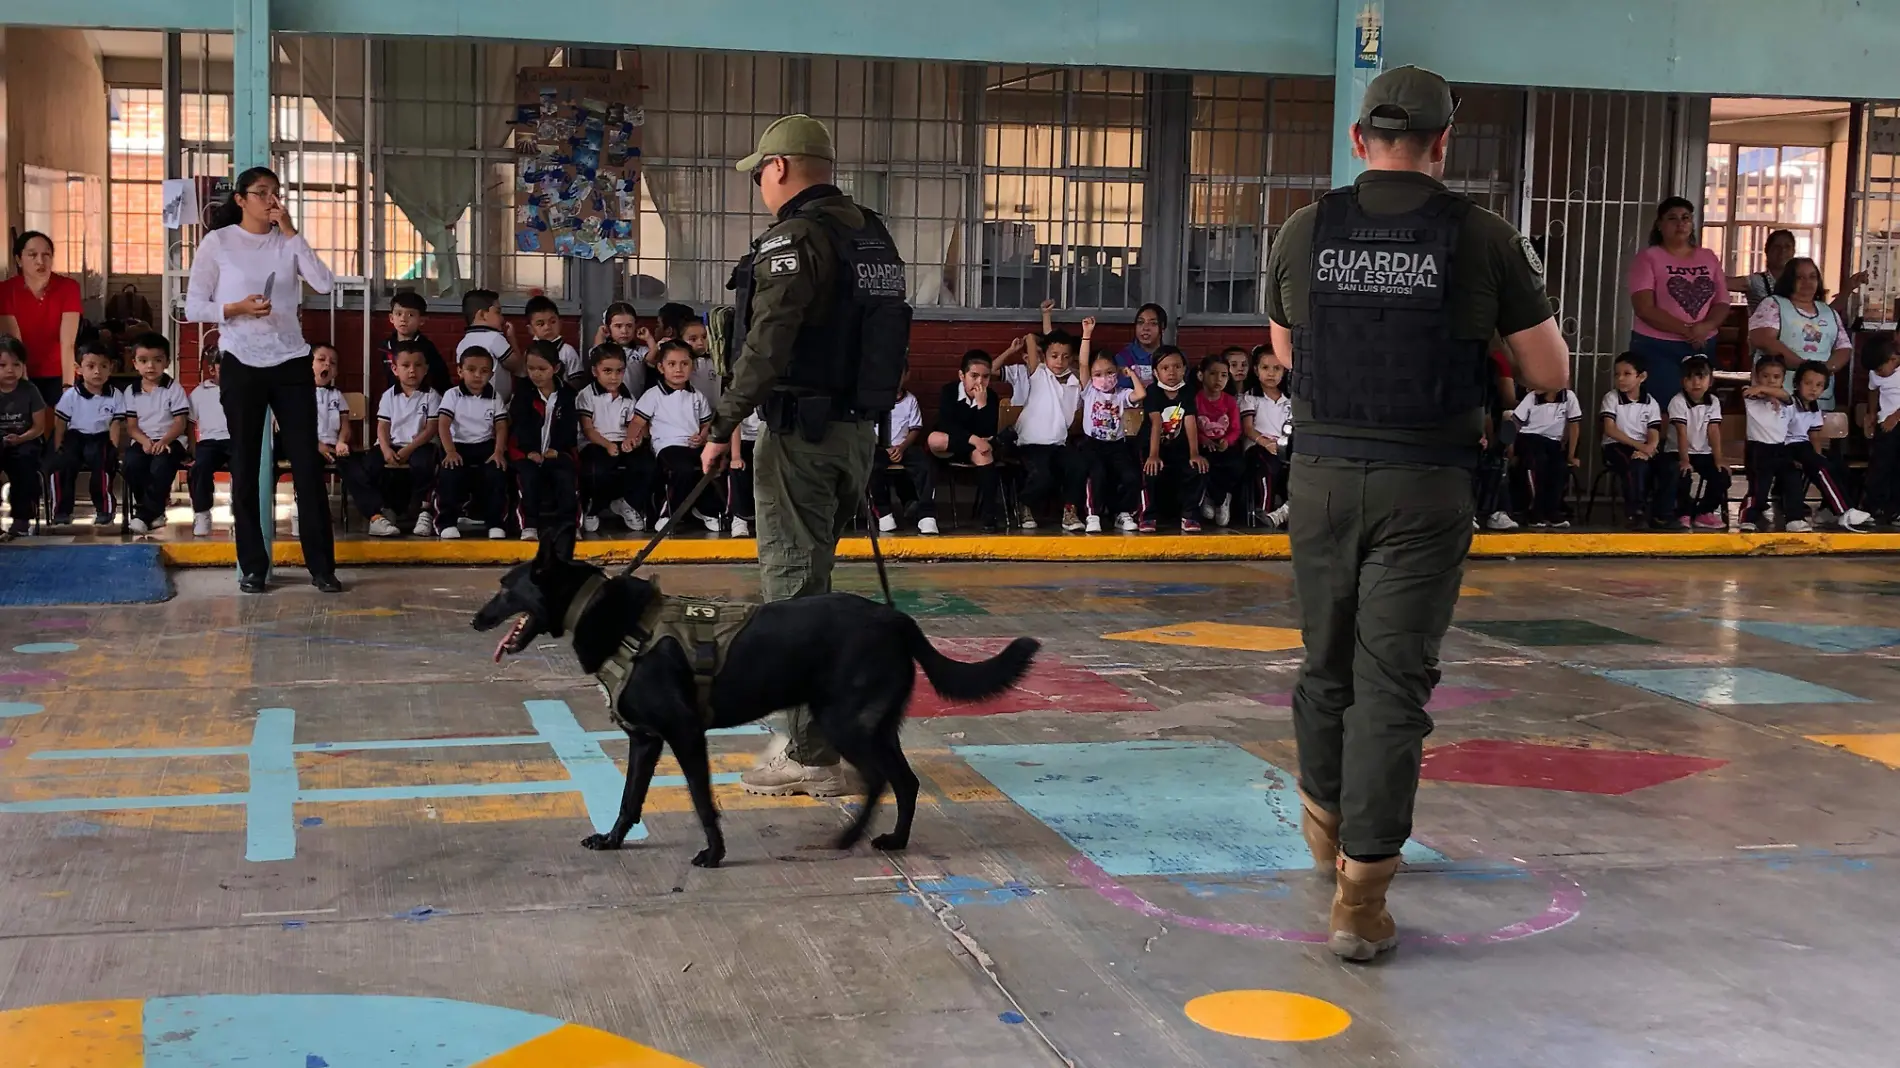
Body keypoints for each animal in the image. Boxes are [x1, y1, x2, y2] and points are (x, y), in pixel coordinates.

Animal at [473, 528, 1041, 866]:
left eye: (505, 587)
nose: (477, 619)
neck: (605, 615)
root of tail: (896, 618)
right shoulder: (646, 741)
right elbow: (630, 798)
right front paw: (613, 841)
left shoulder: (684, 734)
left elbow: (702, 800)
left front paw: (714, 853)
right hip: (874, 725)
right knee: (906, 781)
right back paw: (894, 840)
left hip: (845, 723)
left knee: (883, 779)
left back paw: (848, 840)